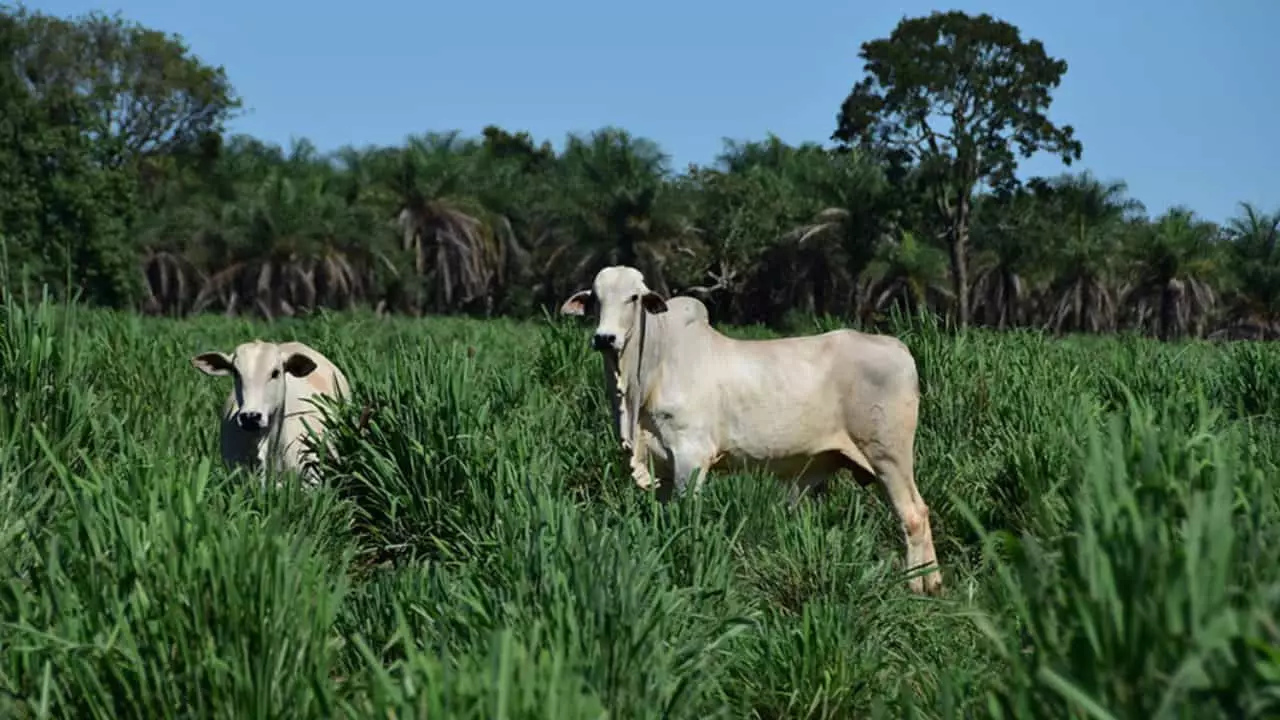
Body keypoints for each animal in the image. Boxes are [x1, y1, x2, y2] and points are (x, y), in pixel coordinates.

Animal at [560, 266, 942, 591]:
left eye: (633, 297)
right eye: (596, 298)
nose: (604, 338)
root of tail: (899, 348)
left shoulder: (691, 457)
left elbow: (687, 519)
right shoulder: (663, 466)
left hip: (888, 455)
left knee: (912, 515)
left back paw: (916, 586)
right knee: (920, 511)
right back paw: (933, 583)